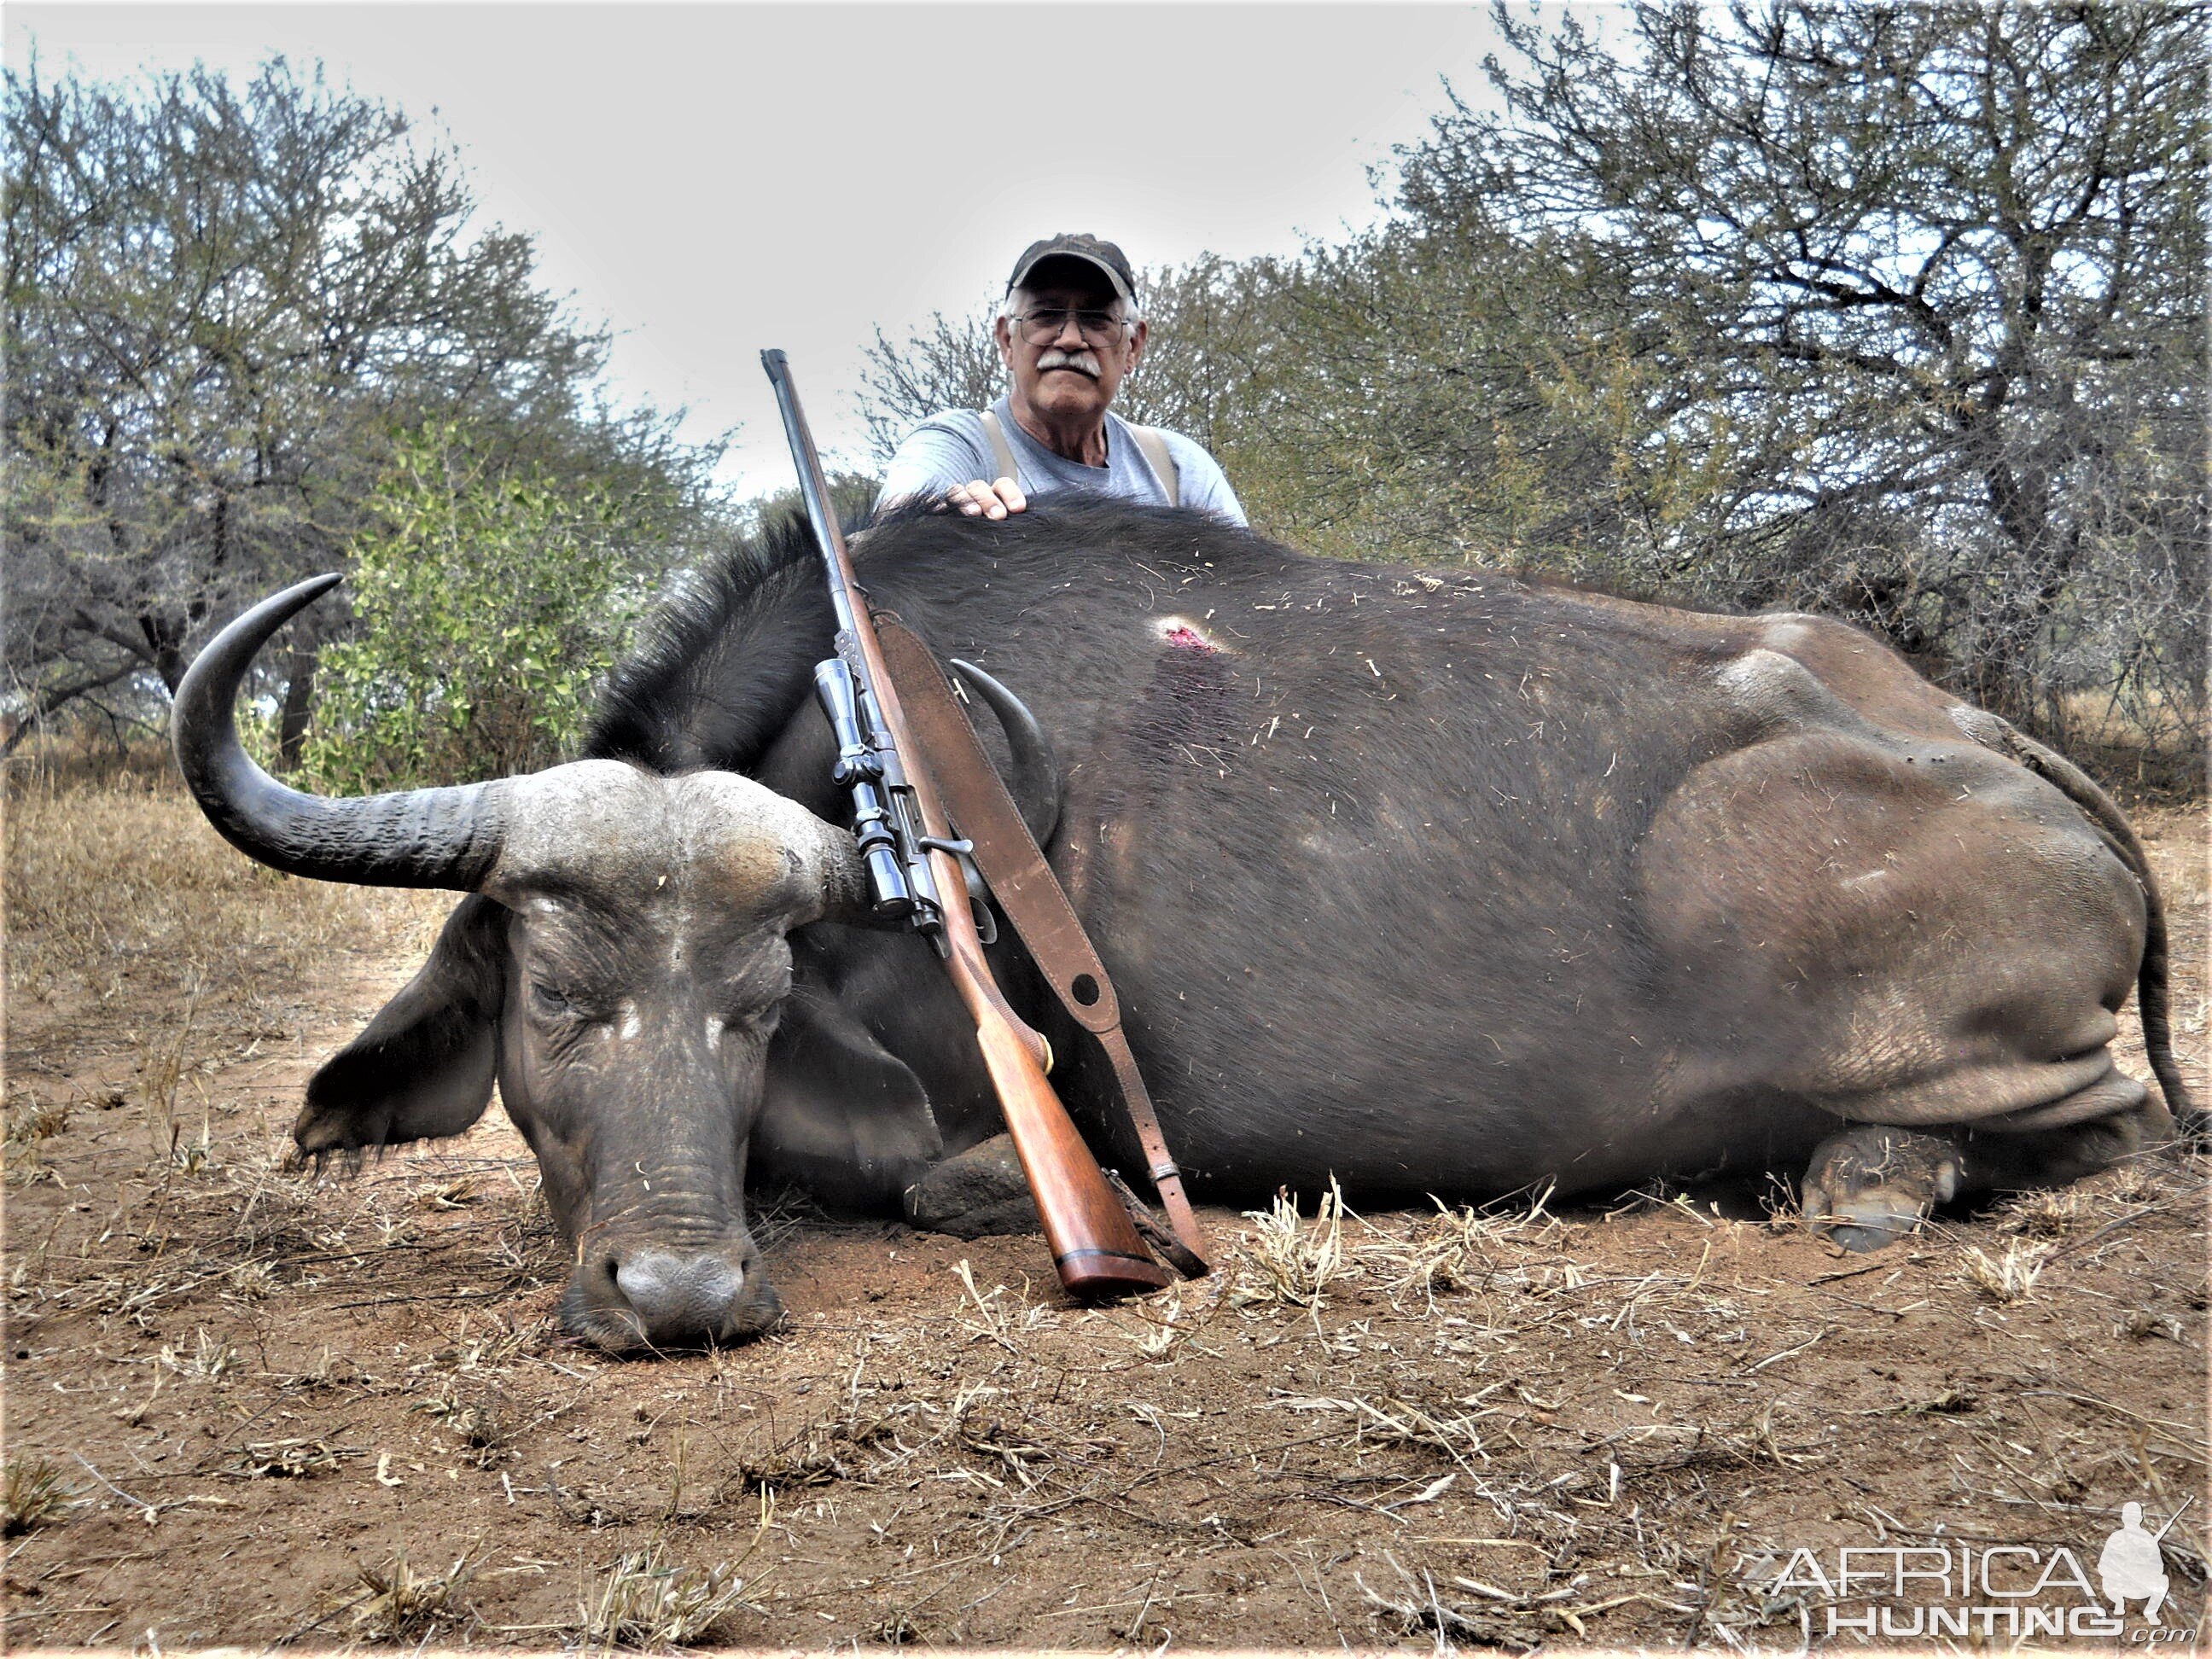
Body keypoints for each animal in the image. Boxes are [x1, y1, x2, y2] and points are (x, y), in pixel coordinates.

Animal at [172, 499, 2194, 1353]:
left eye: (755, 1002)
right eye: (556, 991)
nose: (680, 1294)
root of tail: (1980, 731)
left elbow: (937, 1179)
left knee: (2109, 1126)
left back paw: (1868, 1178)